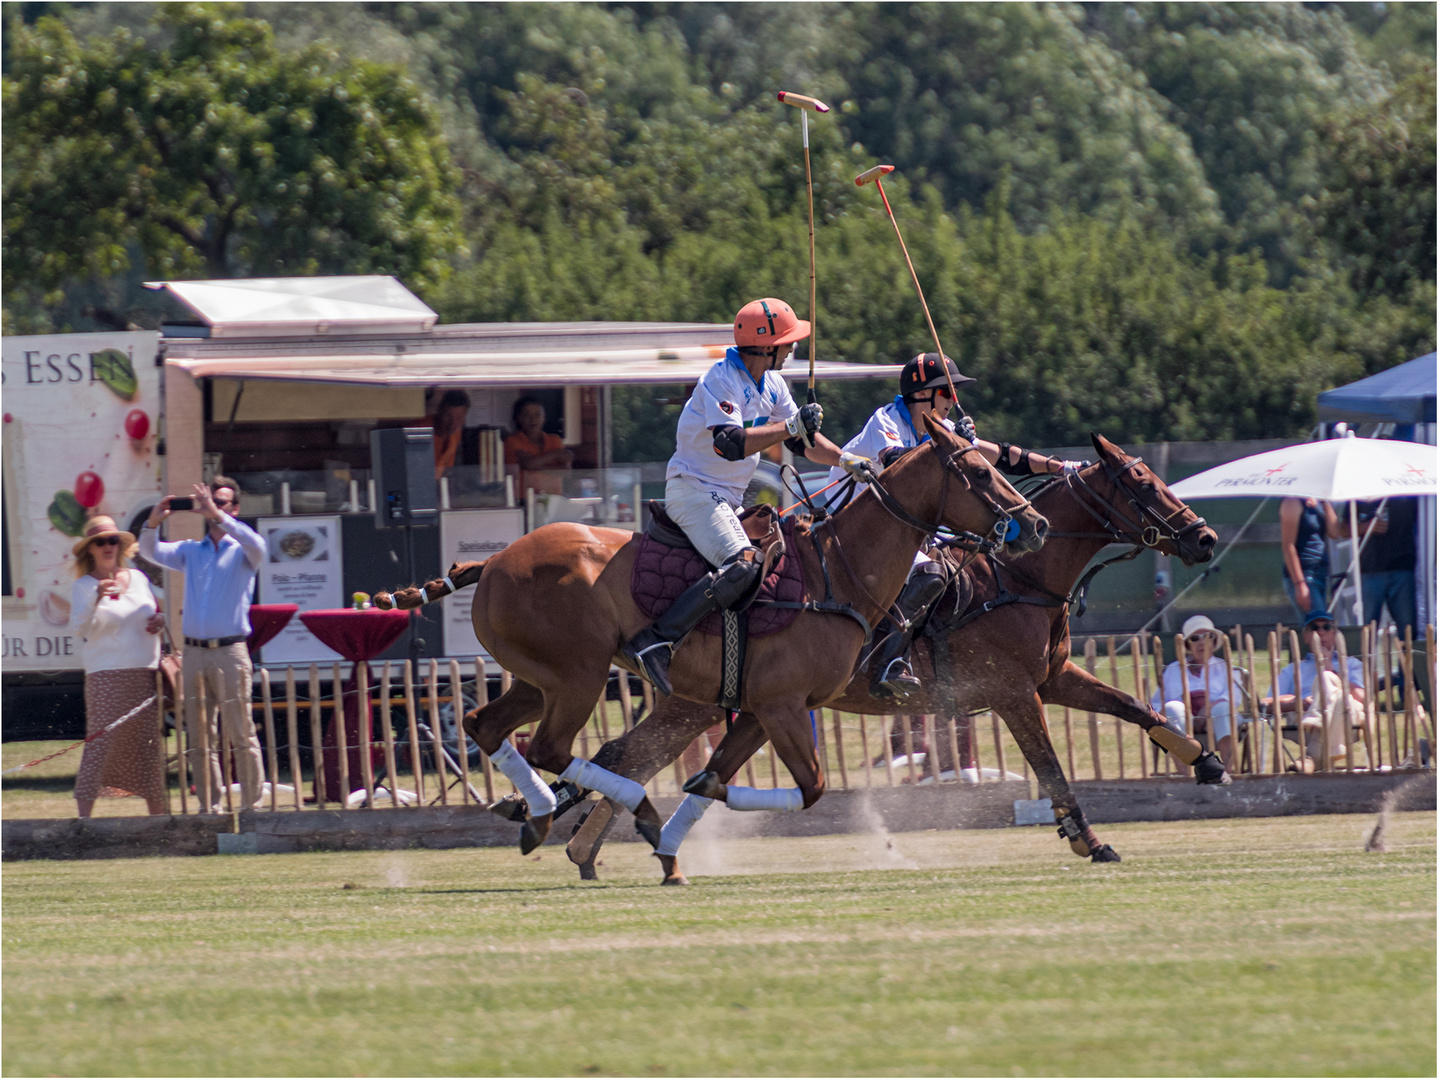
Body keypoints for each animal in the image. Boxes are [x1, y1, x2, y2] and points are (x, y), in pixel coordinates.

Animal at [371, 417, 1047, 857]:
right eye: (978, 470)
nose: (1035, 525)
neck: (837, 569)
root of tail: (491, 561)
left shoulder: (762, 707)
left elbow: (715, 779)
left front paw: (673, 847)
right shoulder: (781, 705)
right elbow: (809, 788)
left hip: (540, 679)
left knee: (487, 725)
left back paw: (538, 813)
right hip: (578, 676)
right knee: (553, 748)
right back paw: (620, 807)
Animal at [523, 434, 1220, 880]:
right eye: (1140, 482)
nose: (1205, 538)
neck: (1019, 576)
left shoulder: (1052, 678)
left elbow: (1132, 705)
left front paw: (1205, 760)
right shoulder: (1014, 692)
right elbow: (1050, 767)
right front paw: (1089, 841)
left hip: (704, 704)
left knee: (628, 755)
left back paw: (587, 846)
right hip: (704, 703)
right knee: (629, 756)